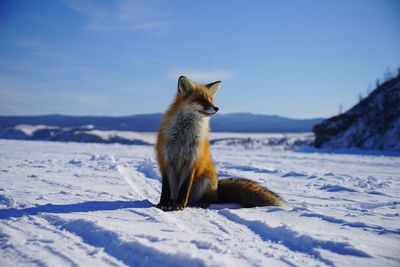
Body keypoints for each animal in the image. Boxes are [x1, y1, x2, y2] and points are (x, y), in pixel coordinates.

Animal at [156, 76, 284, 211]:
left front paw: (179, 205)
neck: (184, 136)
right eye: (201, 99)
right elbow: (165, 189)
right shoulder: (166, 159)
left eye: (211, 99)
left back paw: (200, 203)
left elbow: (185, 188)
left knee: (207, 200)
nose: (216, 108)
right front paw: (162, 204)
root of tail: (217, 189)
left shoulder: (192, 161)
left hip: (205, 180)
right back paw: (172, 202)